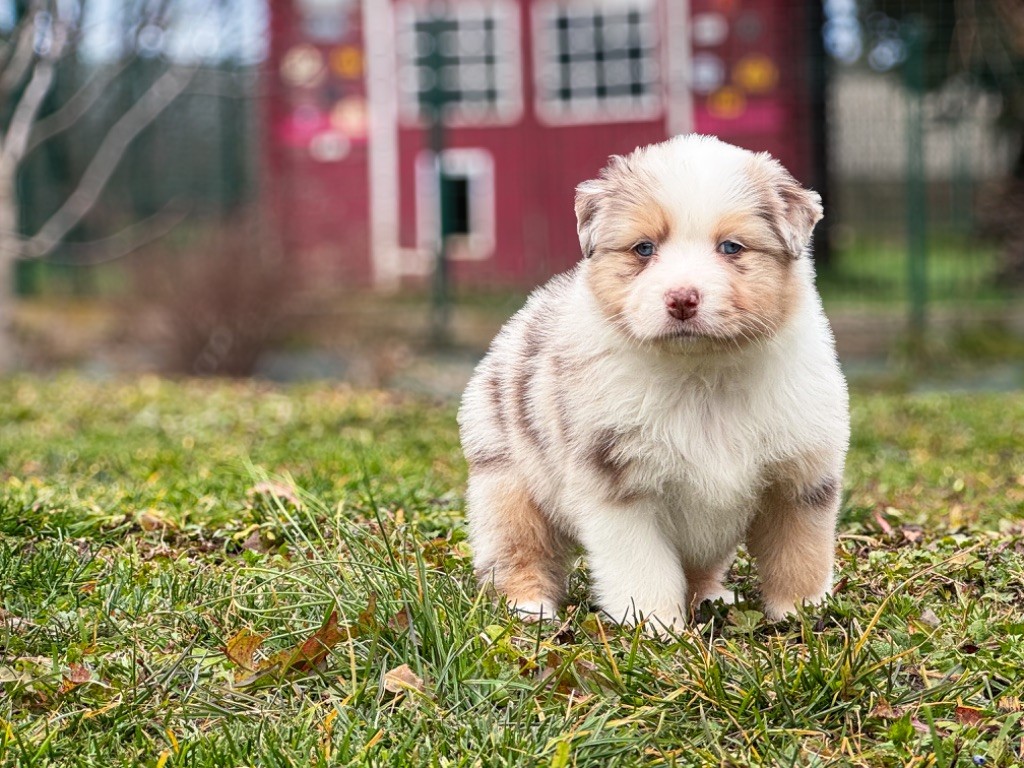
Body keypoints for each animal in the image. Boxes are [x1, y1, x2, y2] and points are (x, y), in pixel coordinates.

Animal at [458, 135, 849, 632]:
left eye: (731, 247)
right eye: (644, 249)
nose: (682, 298)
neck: (701, 376)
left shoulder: (800, 478)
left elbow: (800, 554)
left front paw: (802, 613)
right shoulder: (620, 485)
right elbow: (643, 566)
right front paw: (656, 626)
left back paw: (712, 597)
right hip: (508, 484)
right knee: (518, 551)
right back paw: (529, 607)